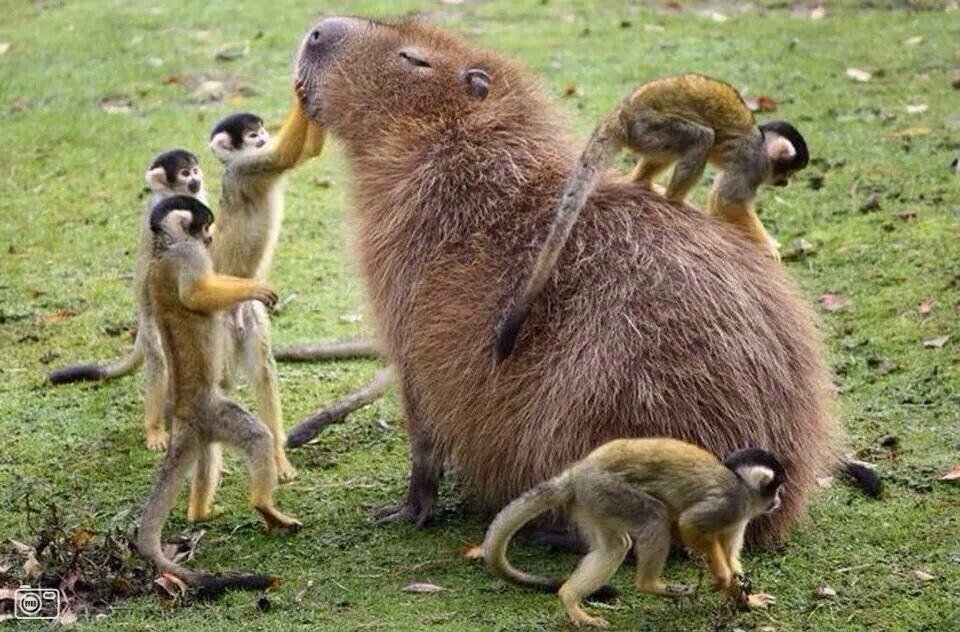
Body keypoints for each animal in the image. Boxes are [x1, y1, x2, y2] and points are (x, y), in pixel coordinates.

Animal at [48, 149, 207, 451]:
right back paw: (155, 427)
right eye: (185, 173)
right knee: (158, 358)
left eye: (194, 170)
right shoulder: (157, 211)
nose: (196, 178)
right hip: (150, 320)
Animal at [135, 194, 300, 595]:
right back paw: (264, 506)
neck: (165, 246)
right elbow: (197, 293)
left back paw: (200, 512)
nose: (209, 238)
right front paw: (254, 288)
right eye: (205, 227)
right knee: (256, 437)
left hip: (203, 429)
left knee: (207, 458)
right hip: (216, 412)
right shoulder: (188, 254)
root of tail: (181, 412)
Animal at [483, 438, 782, 627]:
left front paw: (747, 599)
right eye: (776, 487)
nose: (778, 501)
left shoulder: (740, 516)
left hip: (592, 501)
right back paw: (650, 584)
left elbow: (730, 557)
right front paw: (722, 577)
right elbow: (689, 524)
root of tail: (576, 472)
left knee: (613, 547)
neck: (742, 487)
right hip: (606, 489)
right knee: (654, 519)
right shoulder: (731, 503)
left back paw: (569, 597)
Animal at [494, 74, 809, 361]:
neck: (760, 141)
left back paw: (643, 183)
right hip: (649, 128)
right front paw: (766, 248)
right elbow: (727, 201)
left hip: (645, 136)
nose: (785, 183)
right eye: (788, 171)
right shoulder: (751, 163)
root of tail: (623, 113)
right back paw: (675, 199)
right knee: (701, 137)